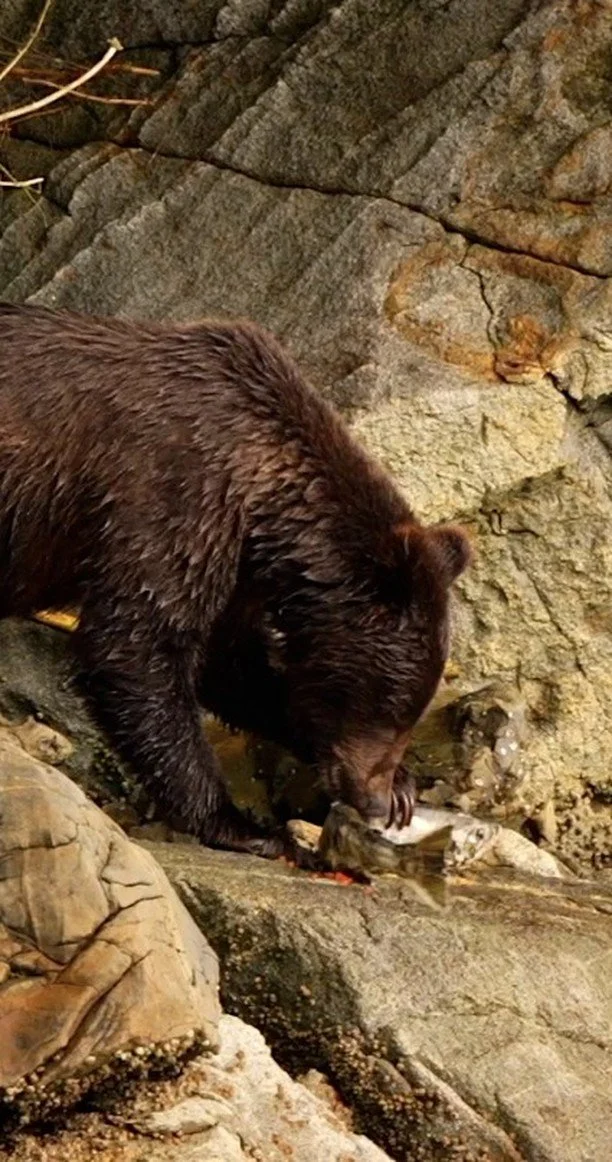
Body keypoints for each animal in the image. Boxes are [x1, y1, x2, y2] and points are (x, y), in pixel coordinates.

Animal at [0, 302, 471, 858]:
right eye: (391, 704)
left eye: (412, 713)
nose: (373, 800)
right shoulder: (175, 498)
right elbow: (139, 644)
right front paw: (242, 825)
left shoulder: (238, 562)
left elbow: (235, 666)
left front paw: (402, 788)